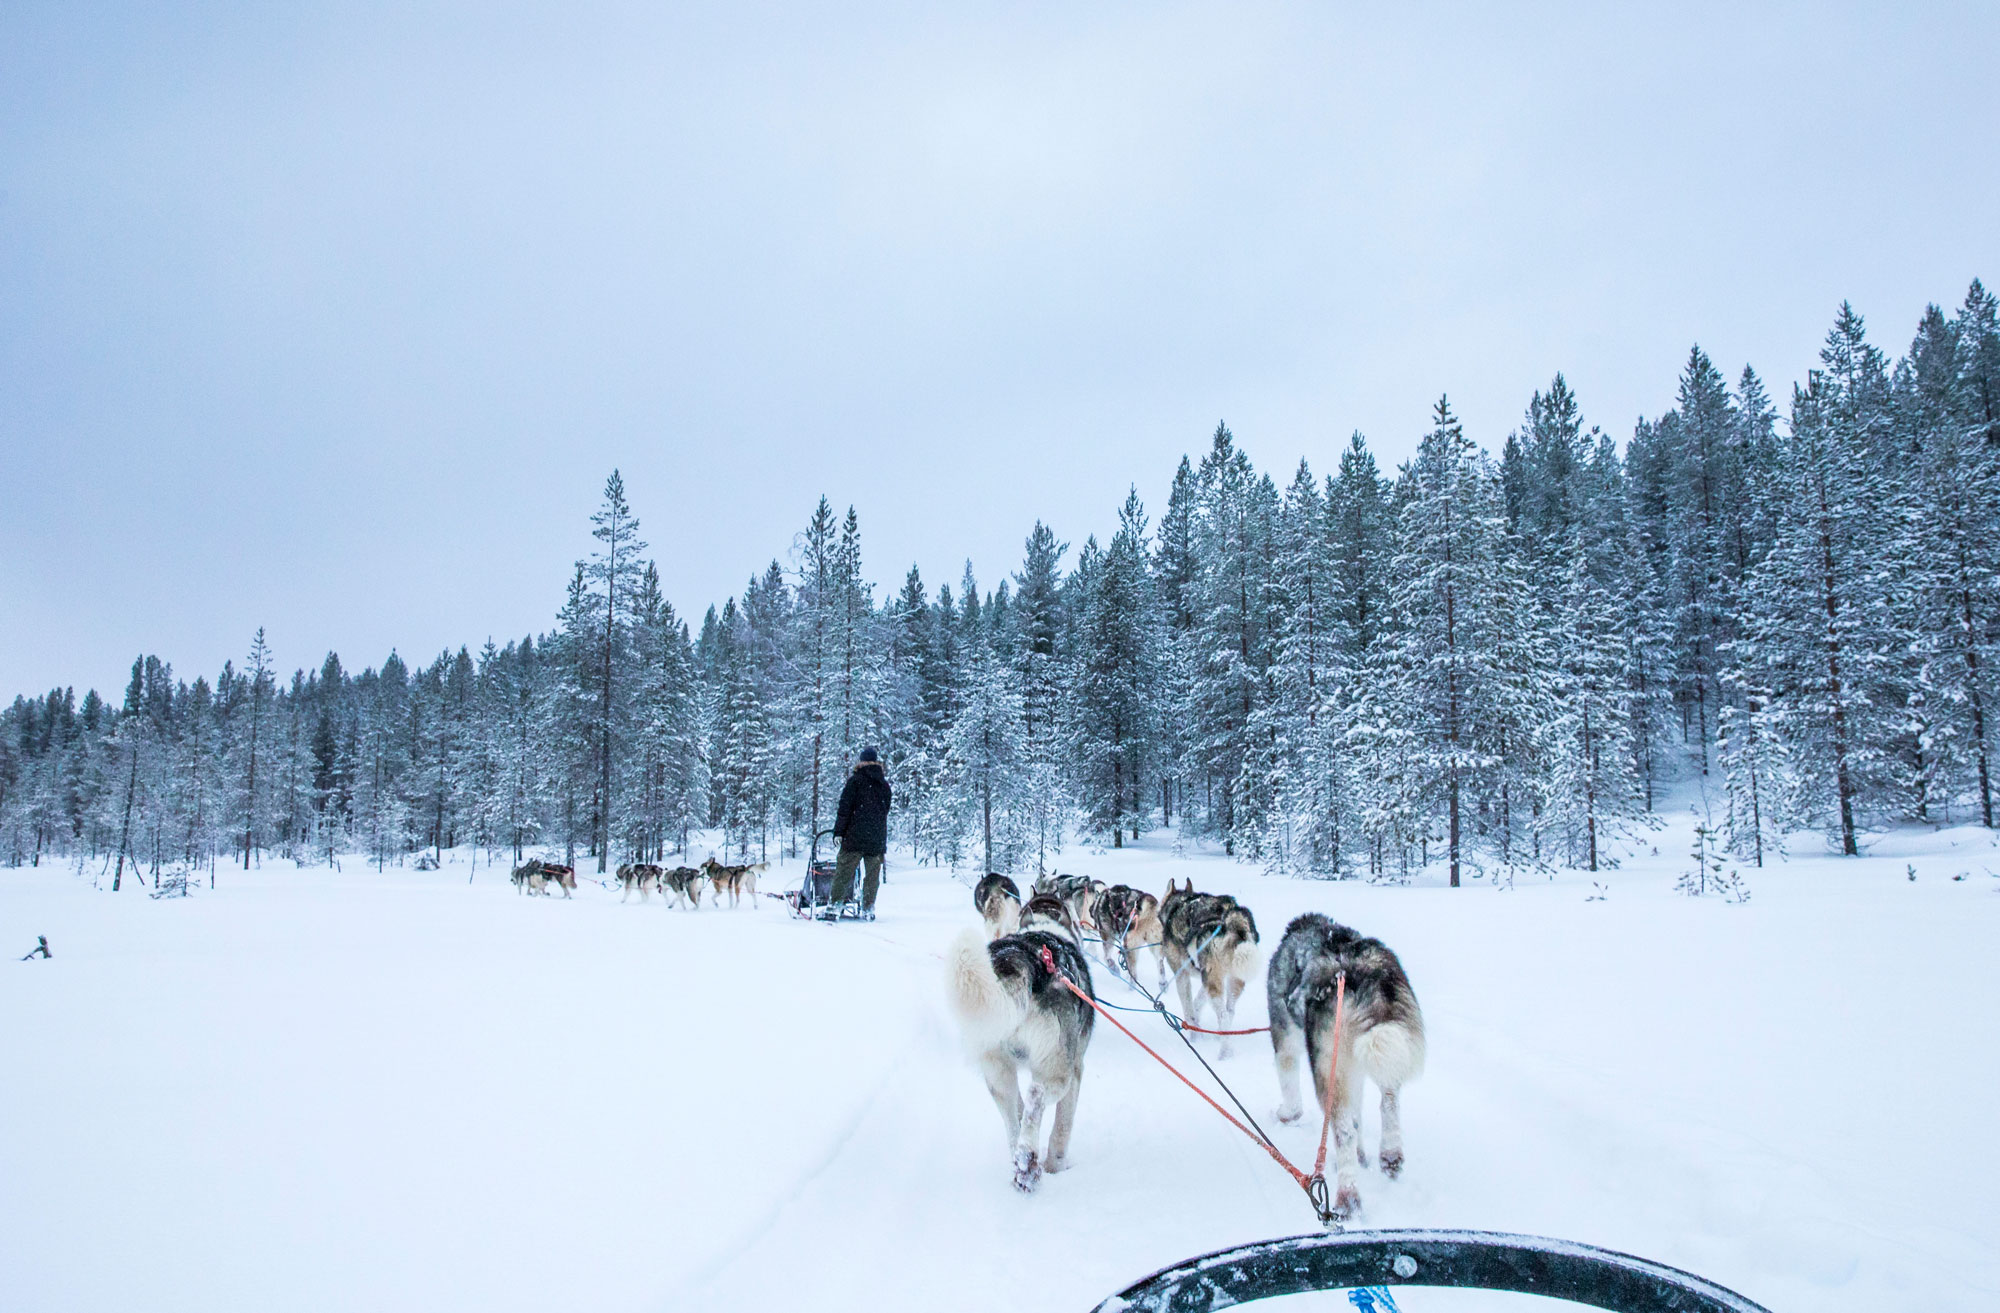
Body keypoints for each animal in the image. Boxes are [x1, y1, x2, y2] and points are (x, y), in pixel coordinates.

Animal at [946, 892, 1095, 1194]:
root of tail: (1017, 957)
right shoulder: (1076, 1071)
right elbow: (1062, 1128)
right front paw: (1056, 1166)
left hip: (996, 1070)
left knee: (1015, 1118)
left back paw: (1023, 1163)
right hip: (1056, 1069)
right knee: (1036, 1097)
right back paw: (1029, 1159)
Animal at [1158, 879, 1261, 1057]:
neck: (1178, 903)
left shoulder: (1182, 975)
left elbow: (1189, 1010)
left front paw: (1194, 1036)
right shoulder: (1206, 975)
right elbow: (1197, 1002)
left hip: (1214, 981)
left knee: (1223, 1016)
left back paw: (1225, 1053)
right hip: (1230, 979)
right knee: (1230, 1011)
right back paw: (1220, 1037)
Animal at [1266, 913, 1425, 1220]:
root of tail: (1363, 971)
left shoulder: (1284, 1038)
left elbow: (1291, 1090)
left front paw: (1286, 1114)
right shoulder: (1354, 1069)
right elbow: (1358, 1114)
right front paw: (1363, 1156)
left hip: (1328, 1065)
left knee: (1343, 1131)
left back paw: (1347, 1198)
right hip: (1373, 1052)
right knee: (1387, 1103)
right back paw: (1390, 1155)